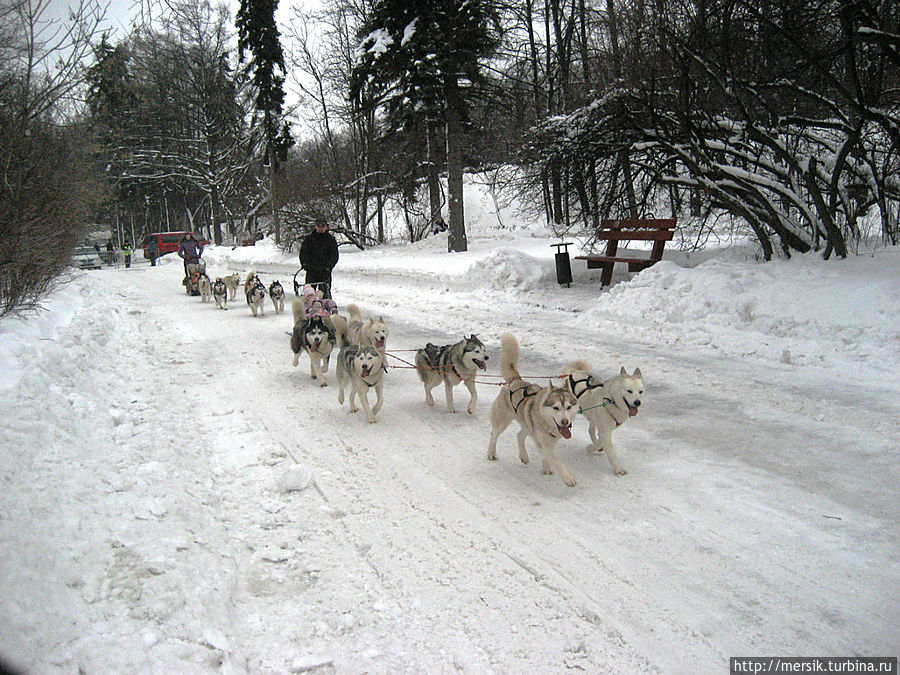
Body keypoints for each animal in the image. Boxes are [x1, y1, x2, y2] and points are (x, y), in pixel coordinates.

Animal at [488, 336, 580, 488]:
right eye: (556, 408)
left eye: (568, 407)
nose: (565, 422)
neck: (548, 424)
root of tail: (515, 380)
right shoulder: (541, 442)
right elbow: (556, 460)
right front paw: (567, 477)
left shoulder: (550, 441)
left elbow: (549, 455)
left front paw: (546, 467)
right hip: (503, 421)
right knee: (494, 434)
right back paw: (491, 453)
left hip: (527, 424)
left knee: (519, 435)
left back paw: (524, 455)